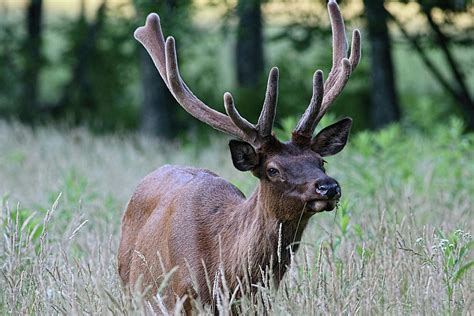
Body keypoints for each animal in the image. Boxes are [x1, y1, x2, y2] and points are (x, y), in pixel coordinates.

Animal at [117, 0, 360, 312]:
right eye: (273, 169)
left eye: (321, 161)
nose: (328, 187)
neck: (225, 270)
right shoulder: (182, 299)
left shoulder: (262, 301)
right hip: (132, 290)